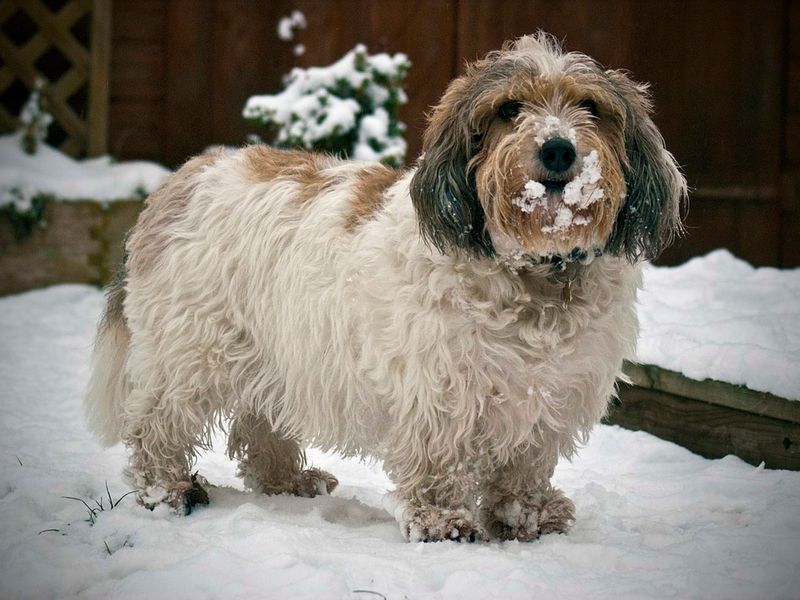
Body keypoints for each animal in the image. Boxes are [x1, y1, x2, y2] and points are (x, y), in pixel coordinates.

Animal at [87, 34, 688, 544]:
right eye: (509, 109)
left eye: (591, 106)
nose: (559, 150)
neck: (532, 273)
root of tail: (180, 179)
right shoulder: (443, 391)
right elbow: (440, 463)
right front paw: (443, 521)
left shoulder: (550, 397)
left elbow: (524, 468)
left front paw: (529, 516)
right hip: (189, 352)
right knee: (156, 425)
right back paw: (168, 491)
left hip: (273, 353)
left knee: (259, 427)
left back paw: (288, 483)